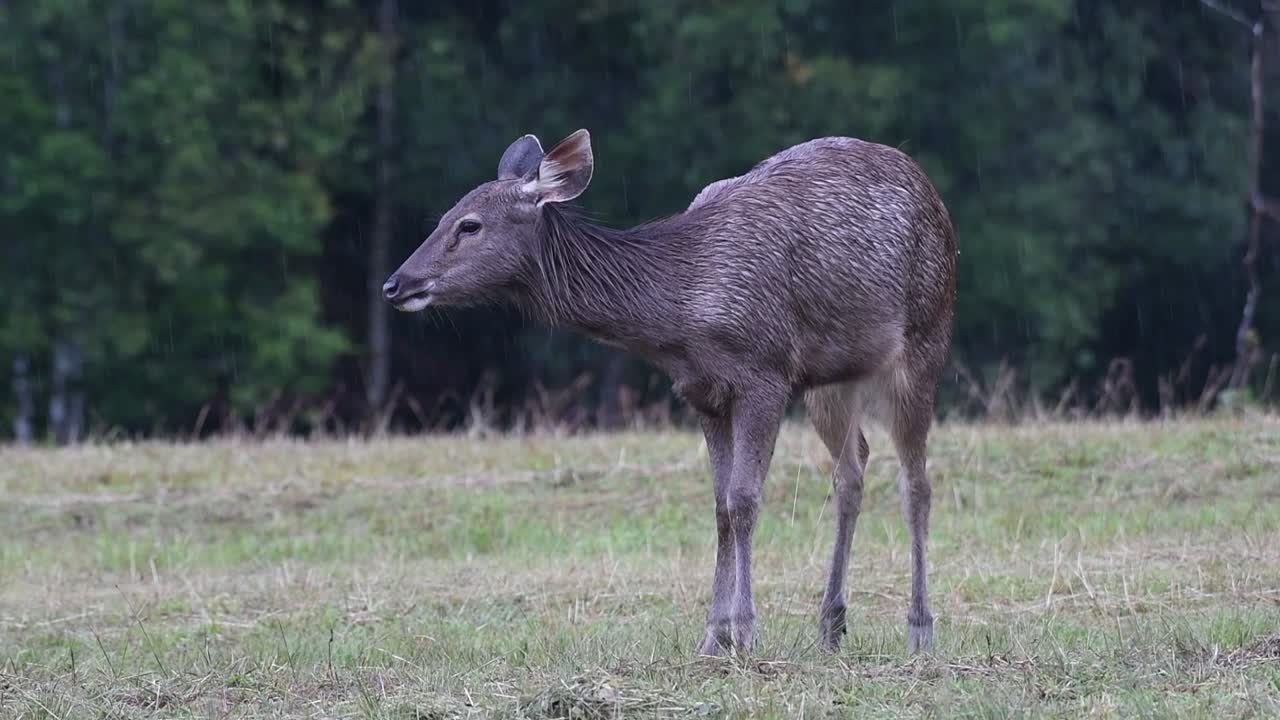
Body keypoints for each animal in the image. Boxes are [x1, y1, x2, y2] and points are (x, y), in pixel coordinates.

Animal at [382, 129, 957, 656]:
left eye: (469, 224)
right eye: (444, 215)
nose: (395, 283)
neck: (680, 319)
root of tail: (931, 191)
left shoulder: (765, 373)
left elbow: (745, 500)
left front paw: (745, 632)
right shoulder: (703, 392)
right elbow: (721, 506)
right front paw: (713, 637)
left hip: (926, 335)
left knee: (916, 482)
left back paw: (921, 629)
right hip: (834, 378)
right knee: (851, 470)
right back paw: (831, 625)